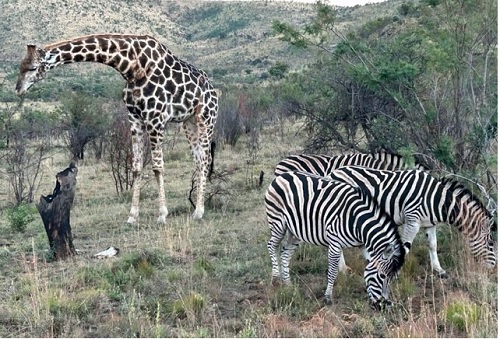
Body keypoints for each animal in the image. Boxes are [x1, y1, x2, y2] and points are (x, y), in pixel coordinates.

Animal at [15, 33, 218, 223]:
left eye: (33, 67)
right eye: (20, 66)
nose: (18, 89)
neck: (130, 67)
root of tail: (214, 90)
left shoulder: (155, 118)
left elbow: (158, 167)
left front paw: (162, 215)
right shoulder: (135, 117)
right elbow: (136, 167)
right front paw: (132, 216)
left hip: (206, 119)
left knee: (205, 159)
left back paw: (199, 211)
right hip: (189, 122)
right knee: (199, 159)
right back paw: (197, 209)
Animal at [266, 171, 406, 310]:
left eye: (393, 279)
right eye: (382, 276)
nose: (384, 306)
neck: (357, 222)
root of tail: (283, 175)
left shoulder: (364, 246)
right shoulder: (334, 243)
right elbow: (332, 272)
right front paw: (328, 297)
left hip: (295, 231)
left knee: (285, 253)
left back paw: (288, 284)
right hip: (278, 223)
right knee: (271, 245)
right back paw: (275, 279)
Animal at [330, 166, 498, 278]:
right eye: (491, 243)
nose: (493, 268)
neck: (438, 200)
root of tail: (334, 172)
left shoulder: (430, 223)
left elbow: (433, 245)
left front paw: (439, 270)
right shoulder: (412, 221)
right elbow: (405, 248)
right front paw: (396, 272)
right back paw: (343, 270)